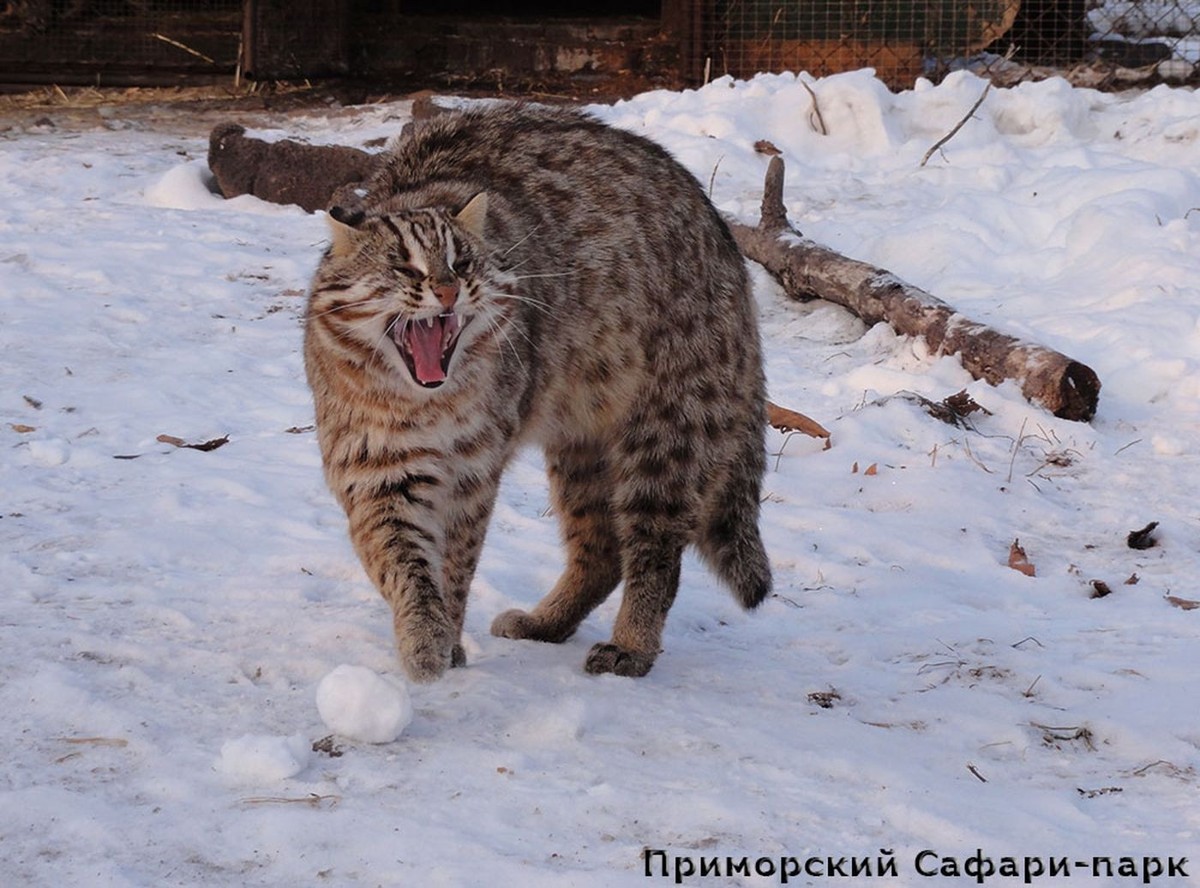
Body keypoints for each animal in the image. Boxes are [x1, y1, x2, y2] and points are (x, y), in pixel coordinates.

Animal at [300, 105, 768, 686]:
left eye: (462, 263)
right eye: (403, 266)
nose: (448, 291)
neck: (424, 404)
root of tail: (724, 238)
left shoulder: (472, 471)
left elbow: (456, 561)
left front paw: (446, 632)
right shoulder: (377, 467)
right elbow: (398, 559)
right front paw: (424, 636)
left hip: (668, 426)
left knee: (656, 550)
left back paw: (632, 644)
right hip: (580, 441)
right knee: (602, 548)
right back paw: (550, 622)